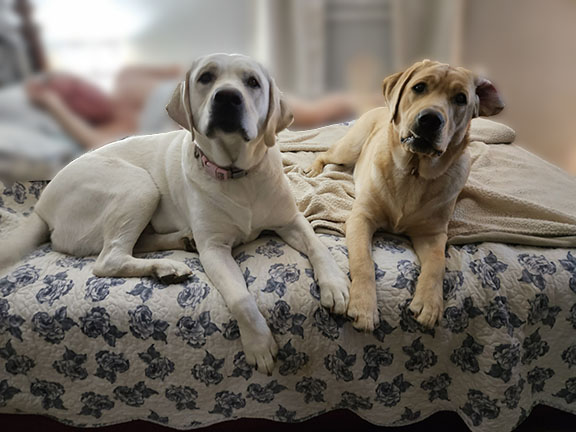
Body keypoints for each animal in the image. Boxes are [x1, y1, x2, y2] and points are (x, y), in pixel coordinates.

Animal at [0, 53, 349, 374]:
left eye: (252, 82)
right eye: (206, 78)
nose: (227, 97)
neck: (238, 176)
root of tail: (42, 207)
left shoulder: (291, 221)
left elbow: (319, 246)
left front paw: (335, 286)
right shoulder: (214, 249)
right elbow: (241, 298)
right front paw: (259, 344)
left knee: (131, 245)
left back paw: (176, 250)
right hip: (138, 185)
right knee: (108, 260)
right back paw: (167, 265)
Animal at [308, 60, 504, 331]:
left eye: (460, 99)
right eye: (419, 87)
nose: (430, 120)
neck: (414, 172)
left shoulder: (433, 234)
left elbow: (437, 264)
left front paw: (430, 304)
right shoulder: (361, 219)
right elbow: (363, 263)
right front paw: (364, 307)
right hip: (349, 148)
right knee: (324, 154)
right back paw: (314, 170)